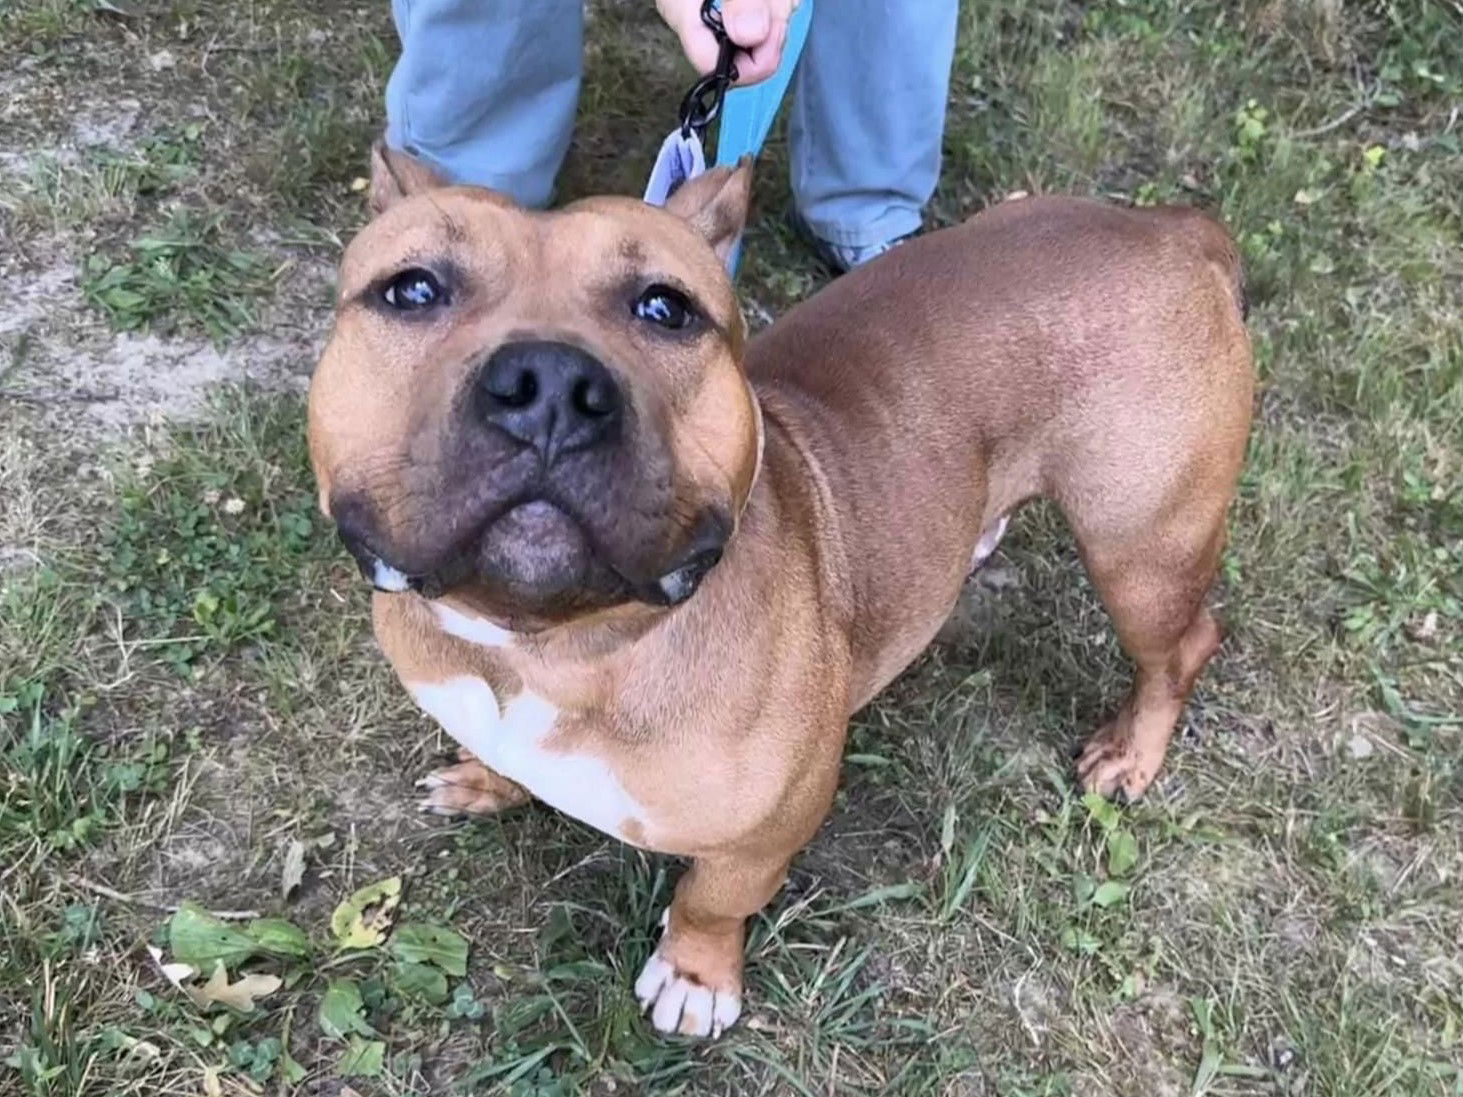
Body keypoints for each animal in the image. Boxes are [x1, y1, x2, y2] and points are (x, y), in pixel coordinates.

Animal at [302, 148, 1252, 1041]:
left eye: (665, 307)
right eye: (411, 289)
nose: (548, 386)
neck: (547, 647)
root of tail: (1165, 228)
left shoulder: (769, 827)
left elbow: (713, 897)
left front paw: (695, 975)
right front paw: (489, 780)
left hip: (1141, 552)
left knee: (1182, 646)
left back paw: (1129, 753)